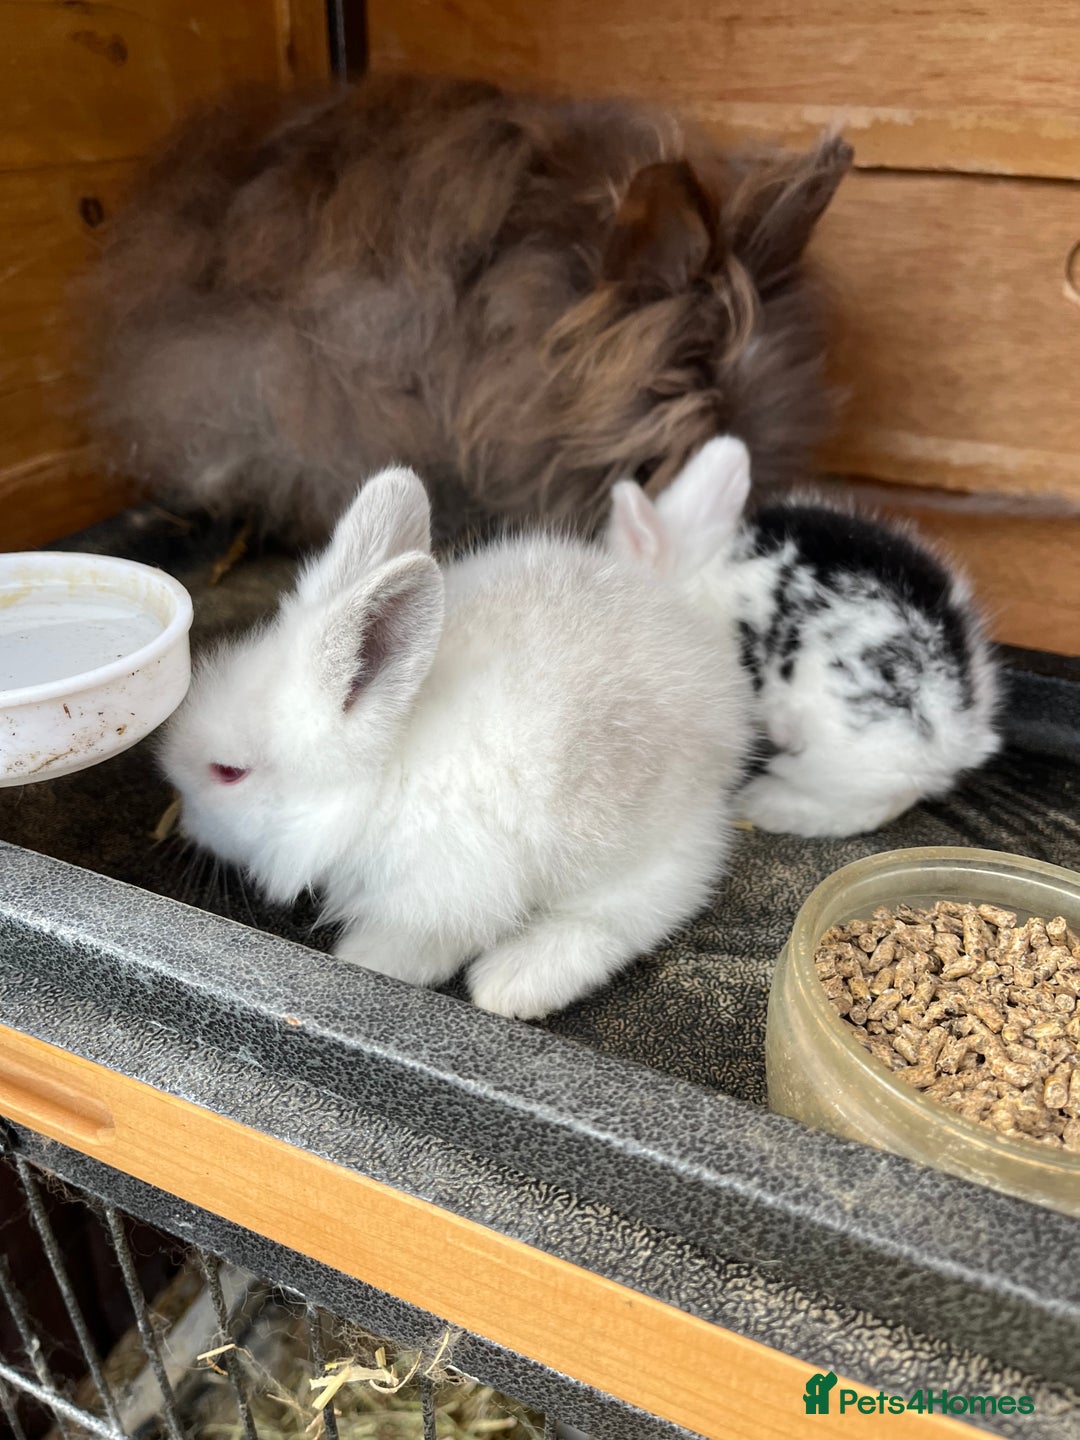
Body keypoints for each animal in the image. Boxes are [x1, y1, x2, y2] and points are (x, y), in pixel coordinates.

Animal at [159, 464, 752, 1019]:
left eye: (229, 772)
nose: (187, 829)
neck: (386, 774)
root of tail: (720, 688)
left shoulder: (458, 883)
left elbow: (429, 935)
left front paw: (364, 959)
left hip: (645, 836)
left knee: (641, 907)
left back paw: (513, 983)